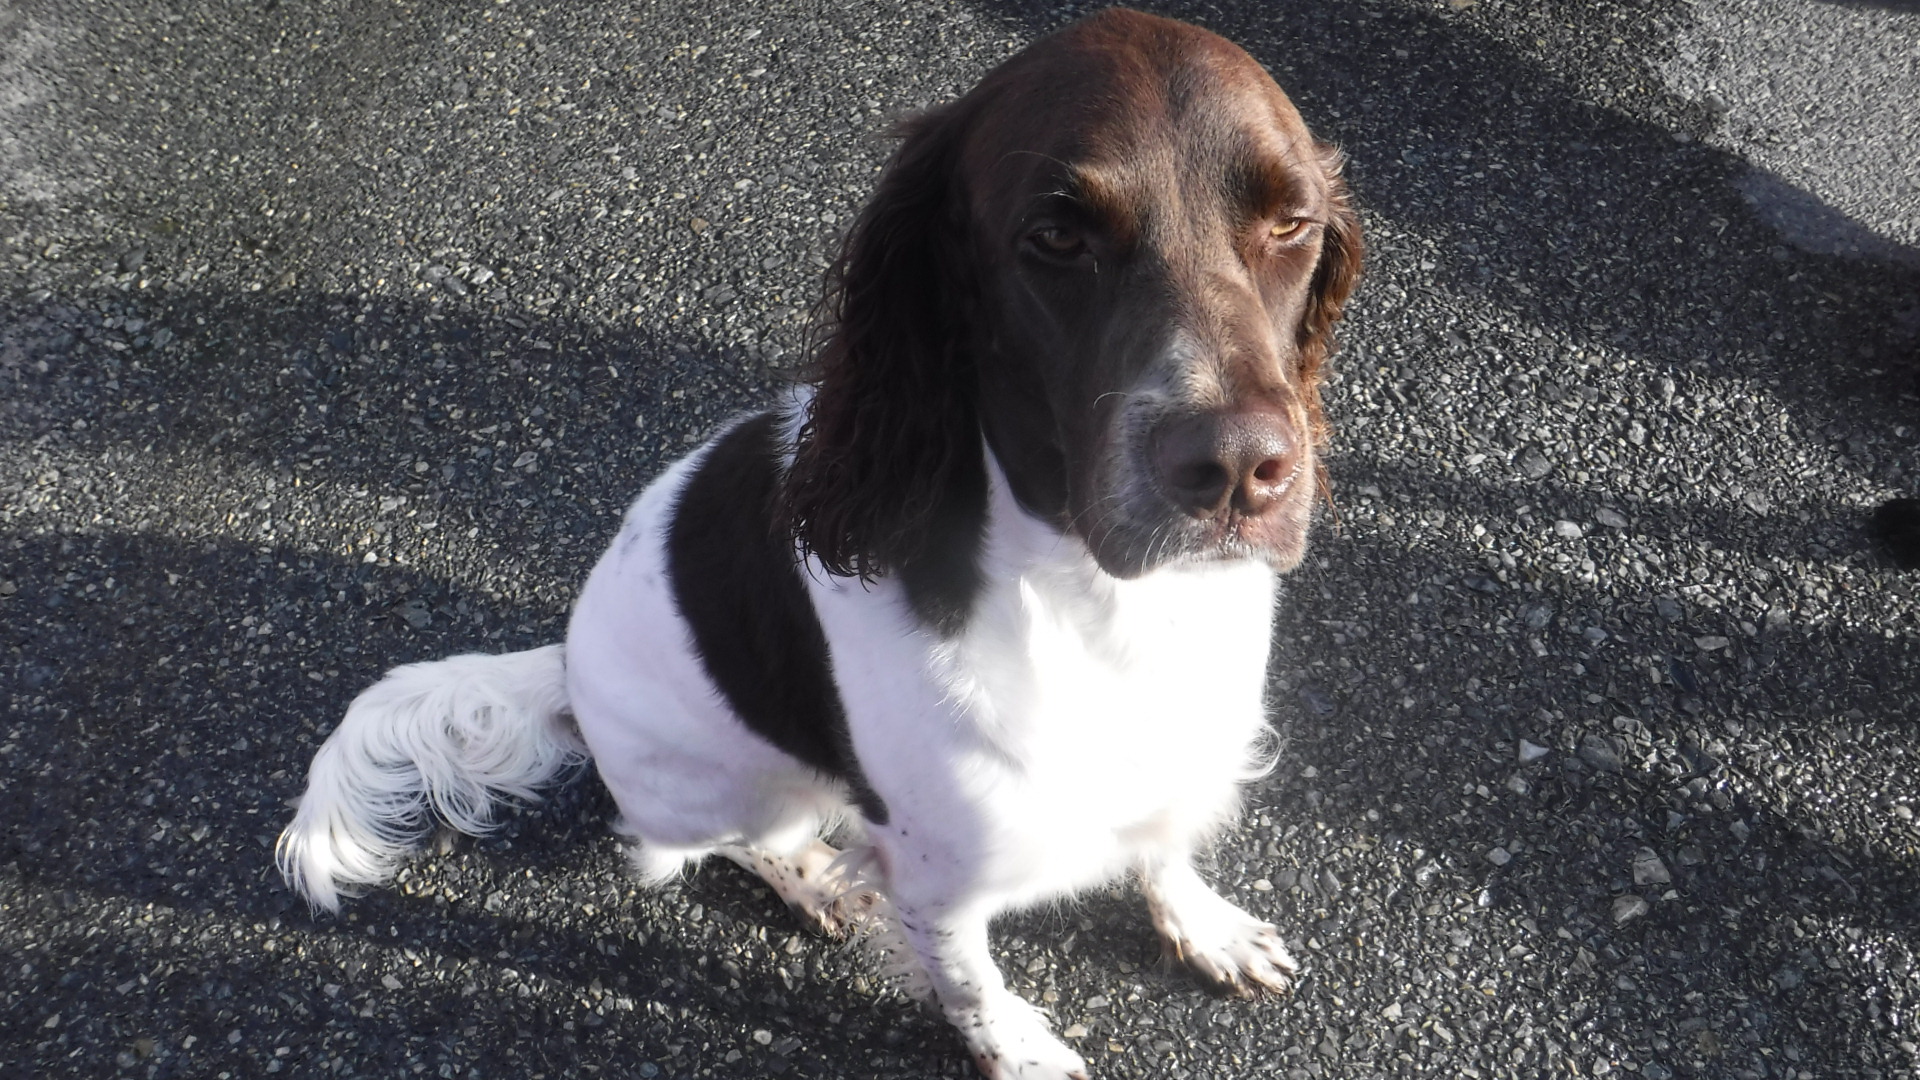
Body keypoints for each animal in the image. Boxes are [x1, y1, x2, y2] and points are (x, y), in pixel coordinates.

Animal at [277, 10, 1361, 1078]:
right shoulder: (939, 877)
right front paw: (1017, 1049)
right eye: (1056, 236)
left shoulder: (1180, 757)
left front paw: (1207, 927)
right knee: (697, 841)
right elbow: (970, 984)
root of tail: (567, 673)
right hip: (721, 786)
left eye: (1292, 224)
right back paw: (810, 874)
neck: (1106, 607)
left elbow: (1165, 851)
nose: (1237, 467)